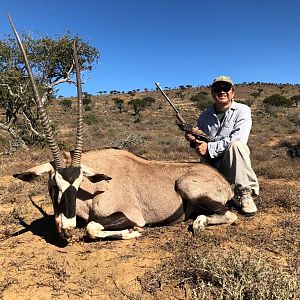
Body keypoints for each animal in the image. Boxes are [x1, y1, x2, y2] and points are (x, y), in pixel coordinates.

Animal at [10, 17, 238, 241]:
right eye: (53, 185)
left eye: (78, 183)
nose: (67, 229)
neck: (94, 188)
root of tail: (223, 181)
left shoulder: (131, 215)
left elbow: (92, 227)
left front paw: (132, 231)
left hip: (187, 186)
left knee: (229, 214)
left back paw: (199, 223)